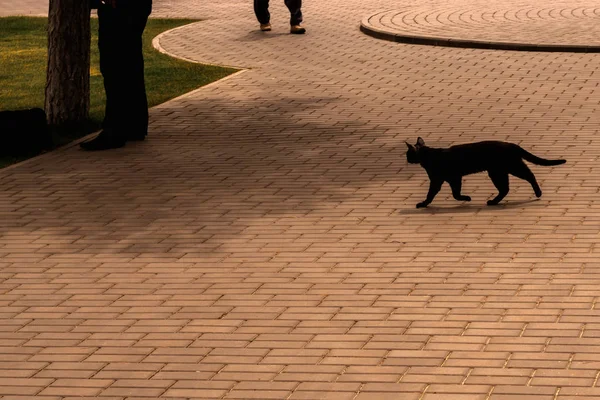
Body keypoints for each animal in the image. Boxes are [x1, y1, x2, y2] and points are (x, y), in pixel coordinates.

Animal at [406, 138, 564, 208]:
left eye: (408, 154)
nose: (406, 159)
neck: (429, 155)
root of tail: (512, 144)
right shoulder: (453, 178)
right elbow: (455, 193)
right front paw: (466, 198)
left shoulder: (439, 179)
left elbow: (432, 194)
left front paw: (423, 203)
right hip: (498, 172)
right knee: (505, 188)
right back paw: (494, 201)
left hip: (510, 168)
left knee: (529, 175)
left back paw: (538, 193)